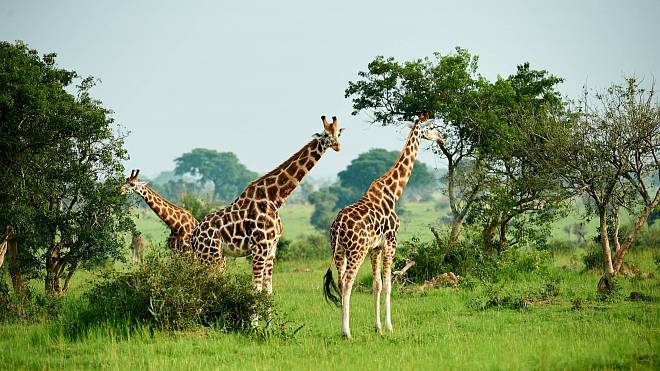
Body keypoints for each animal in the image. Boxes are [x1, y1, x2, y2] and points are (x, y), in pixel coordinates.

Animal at [191, 116, 342, 296]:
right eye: (326, 134)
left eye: (339, 133)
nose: (338, 146)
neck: (275, 199)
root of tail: (194, 236)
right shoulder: (260, 248)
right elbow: (256, 290)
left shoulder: (271, 249)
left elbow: (268, 290)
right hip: (209, 255)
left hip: (218, 256)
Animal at [324, 113, 446, 340]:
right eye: (433, 128)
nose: (442, 139)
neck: (394, 192)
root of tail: (338, 226)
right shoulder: (390, 243)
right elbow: (389, 285)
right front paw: (389, 326)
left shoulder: (376, 247)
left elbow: (377, 285)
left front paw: (378, 327)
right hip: (357, 250)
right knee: (347, 283)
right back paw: (347, 333)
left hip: (339, 251)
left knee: (340, 282)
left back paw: (342, 329)